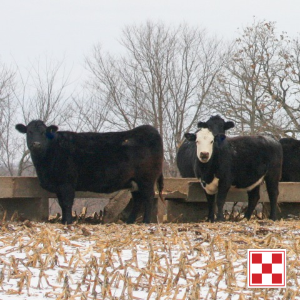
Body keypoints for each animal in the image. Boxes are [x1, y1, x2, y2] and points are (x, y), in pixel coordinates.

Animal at [16, 119, 164, 225]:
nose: (36, 144)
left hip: (146, 179)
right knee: (138, 200)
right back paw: (130, 222)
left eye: (43, 132)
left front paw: (68, 222)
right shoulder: (59, 185)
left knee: (148, 198)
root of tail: (150, 130)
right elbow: (62, 204)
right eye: (29, 132)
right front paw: (64, 221)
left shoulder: (66, 183)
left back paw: (145, 221)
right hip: (134, 181)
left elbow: (67, 203)